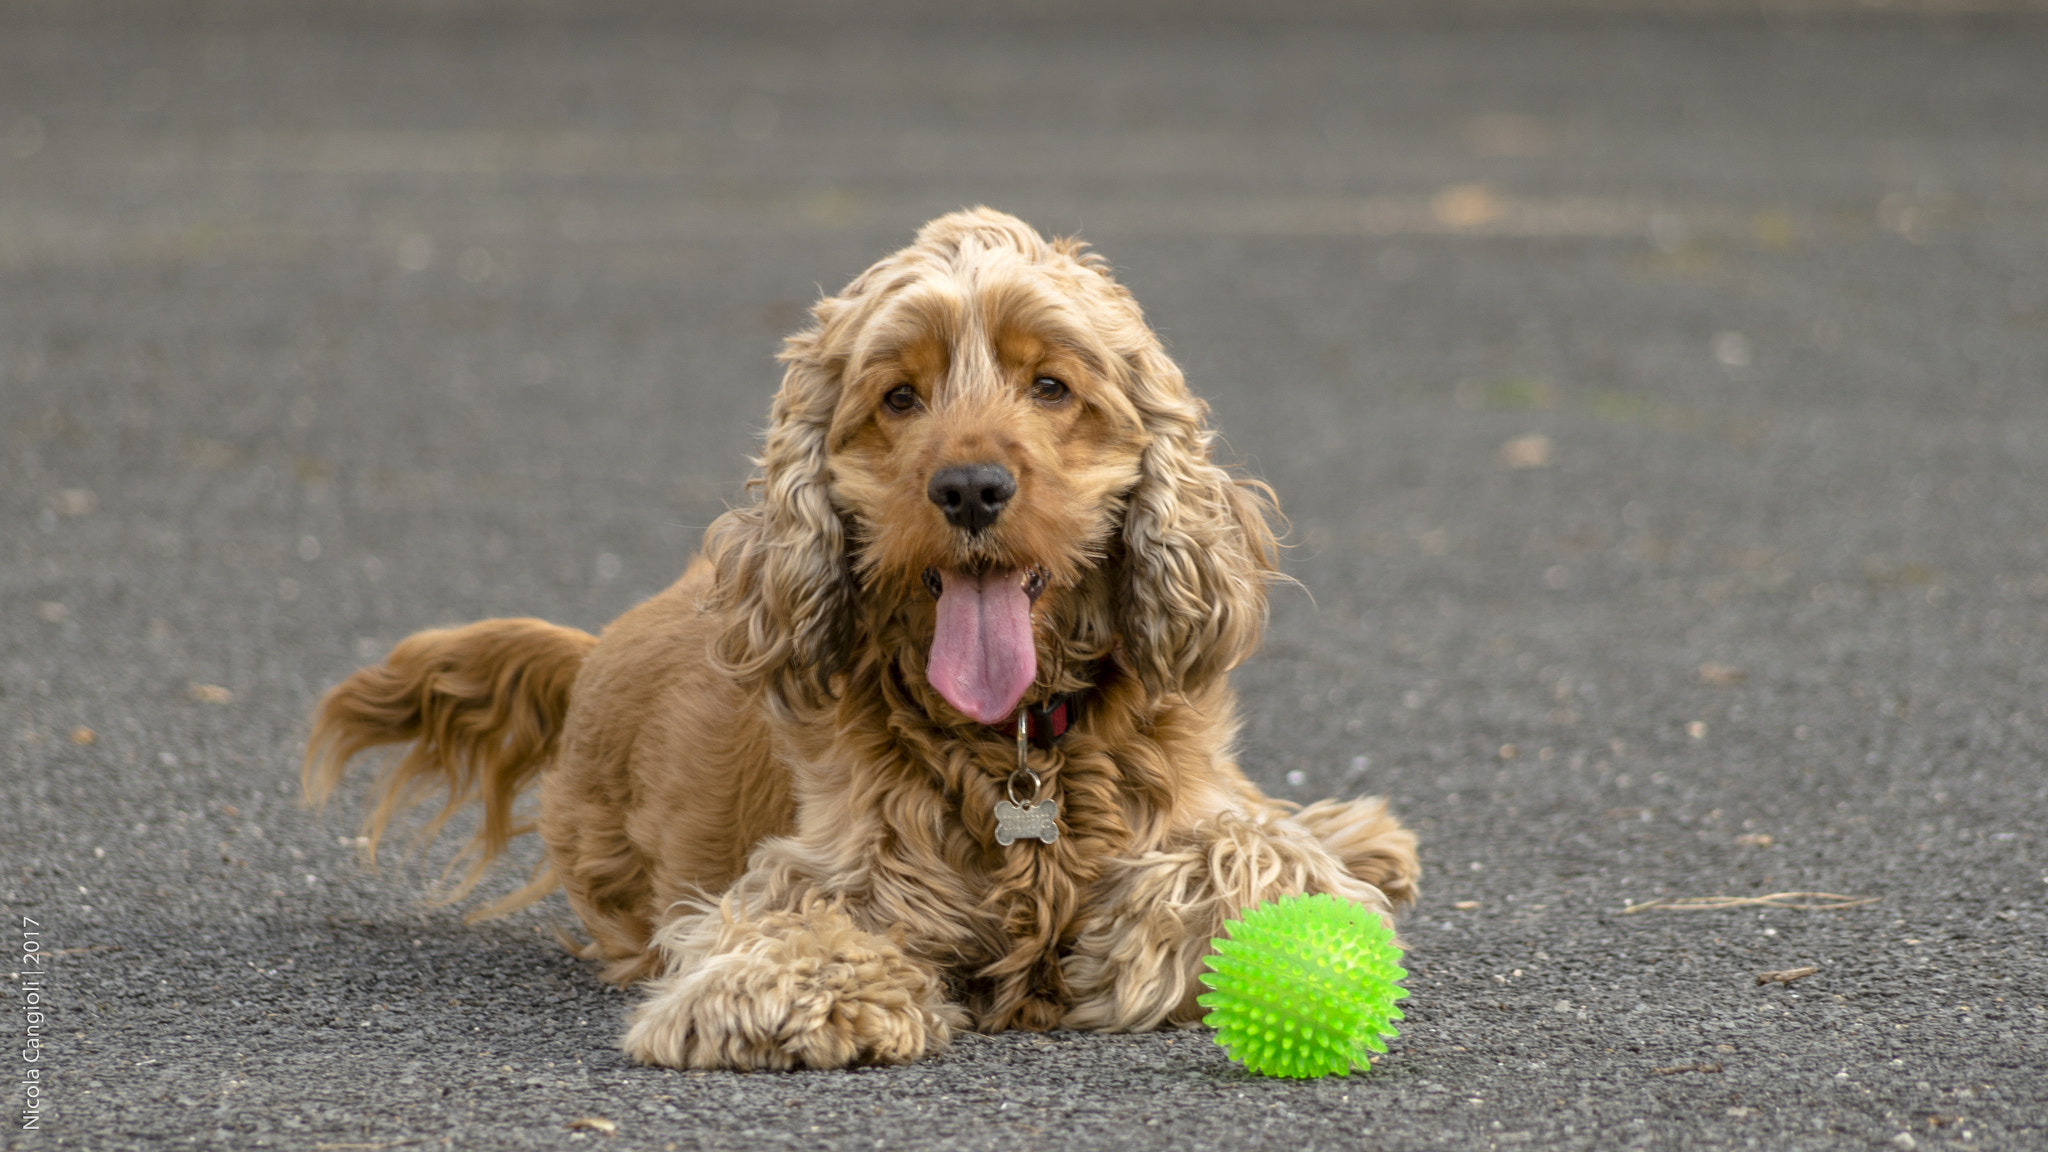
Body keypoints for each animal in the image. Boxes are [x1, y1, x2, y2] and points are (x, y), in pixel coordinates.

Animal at [303, 206, 1417, 1065]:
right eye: (899, 397)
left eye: (1051, 387)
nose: (969, 489)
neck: (1016, 745)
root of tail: (589, 657)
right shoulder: (815, 865)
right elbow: (790, 927)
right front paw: (810, 997)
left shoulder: (1188, 801)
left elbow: (1250, 852)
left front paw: (1132, 943)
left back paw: (1363, 838)